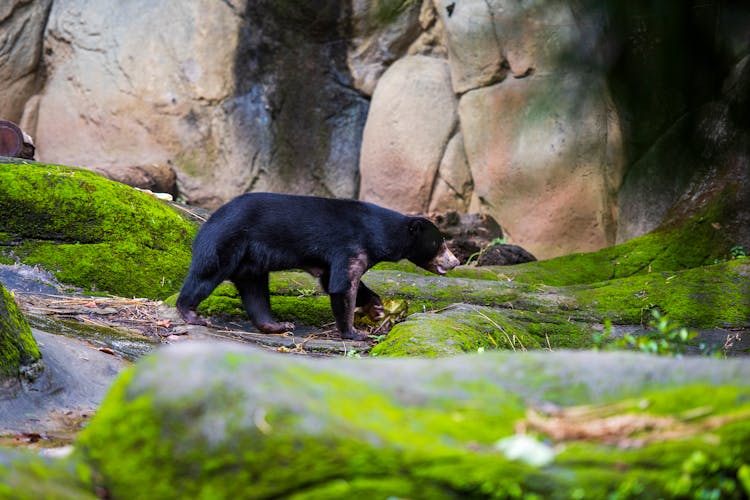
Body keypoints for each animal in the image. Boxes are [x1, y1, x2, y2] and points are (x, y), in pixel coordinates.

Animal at [177, 191, 462, 340]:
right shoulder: (351, 245)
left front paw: (377, 308)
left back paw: (278, 325)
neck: (379, 234)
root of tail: (210, 219)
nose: (456, 262)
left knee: (255, 292)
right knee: (207, 274)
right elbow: (342, 286)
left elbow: (335, 280)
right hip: (228, 241)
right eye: (440, 244)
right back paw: (192, 313)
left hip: (251, 261)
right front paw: (355, 333)